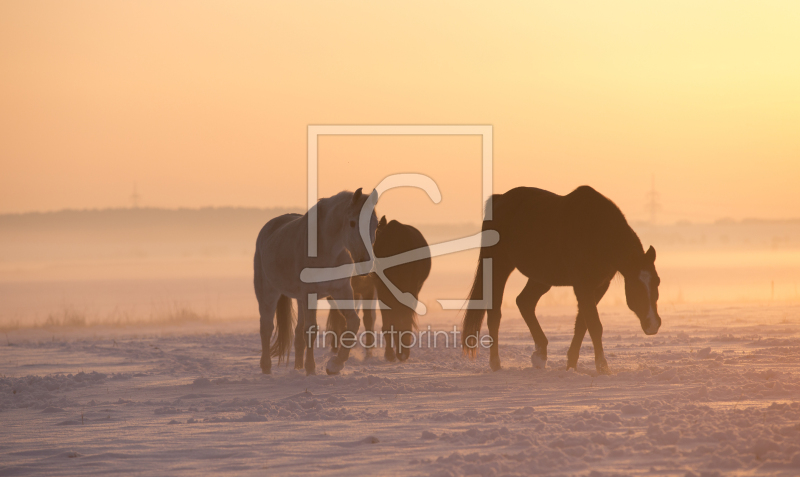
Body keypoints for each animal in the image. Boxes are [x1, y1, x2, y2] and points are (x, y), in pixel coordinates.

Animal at [253, 188, 378, 374]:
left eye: (375, 225)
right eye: (352, 223)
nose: (366, 262)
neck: (326, 249)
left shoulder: (341, 290)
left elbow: (353, 322)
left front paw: (335, 365)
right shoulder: (309, 294)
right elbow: (311, 329)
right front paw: (311, 369)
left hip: (299, 299)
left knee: (297, 333)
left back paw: (297, 367)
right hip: (268, 292)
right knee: (267, 328)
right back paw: (266, 368)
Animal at [462, 184, 664, 374]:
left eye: (657, 282)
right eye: (636, 286)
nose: (653, 324)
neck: (596, 231)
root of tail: (500, 199)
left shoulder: (599, 286)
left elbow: (582, 323)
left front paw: (571, 364)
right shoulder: (582, 285)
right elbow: (594, 325)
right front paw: (602, 367)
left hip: (542, 278)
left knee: (524, 302)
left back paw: (540, 355)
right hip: (499, 267)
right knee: (495, 314)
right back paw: (496, 363)